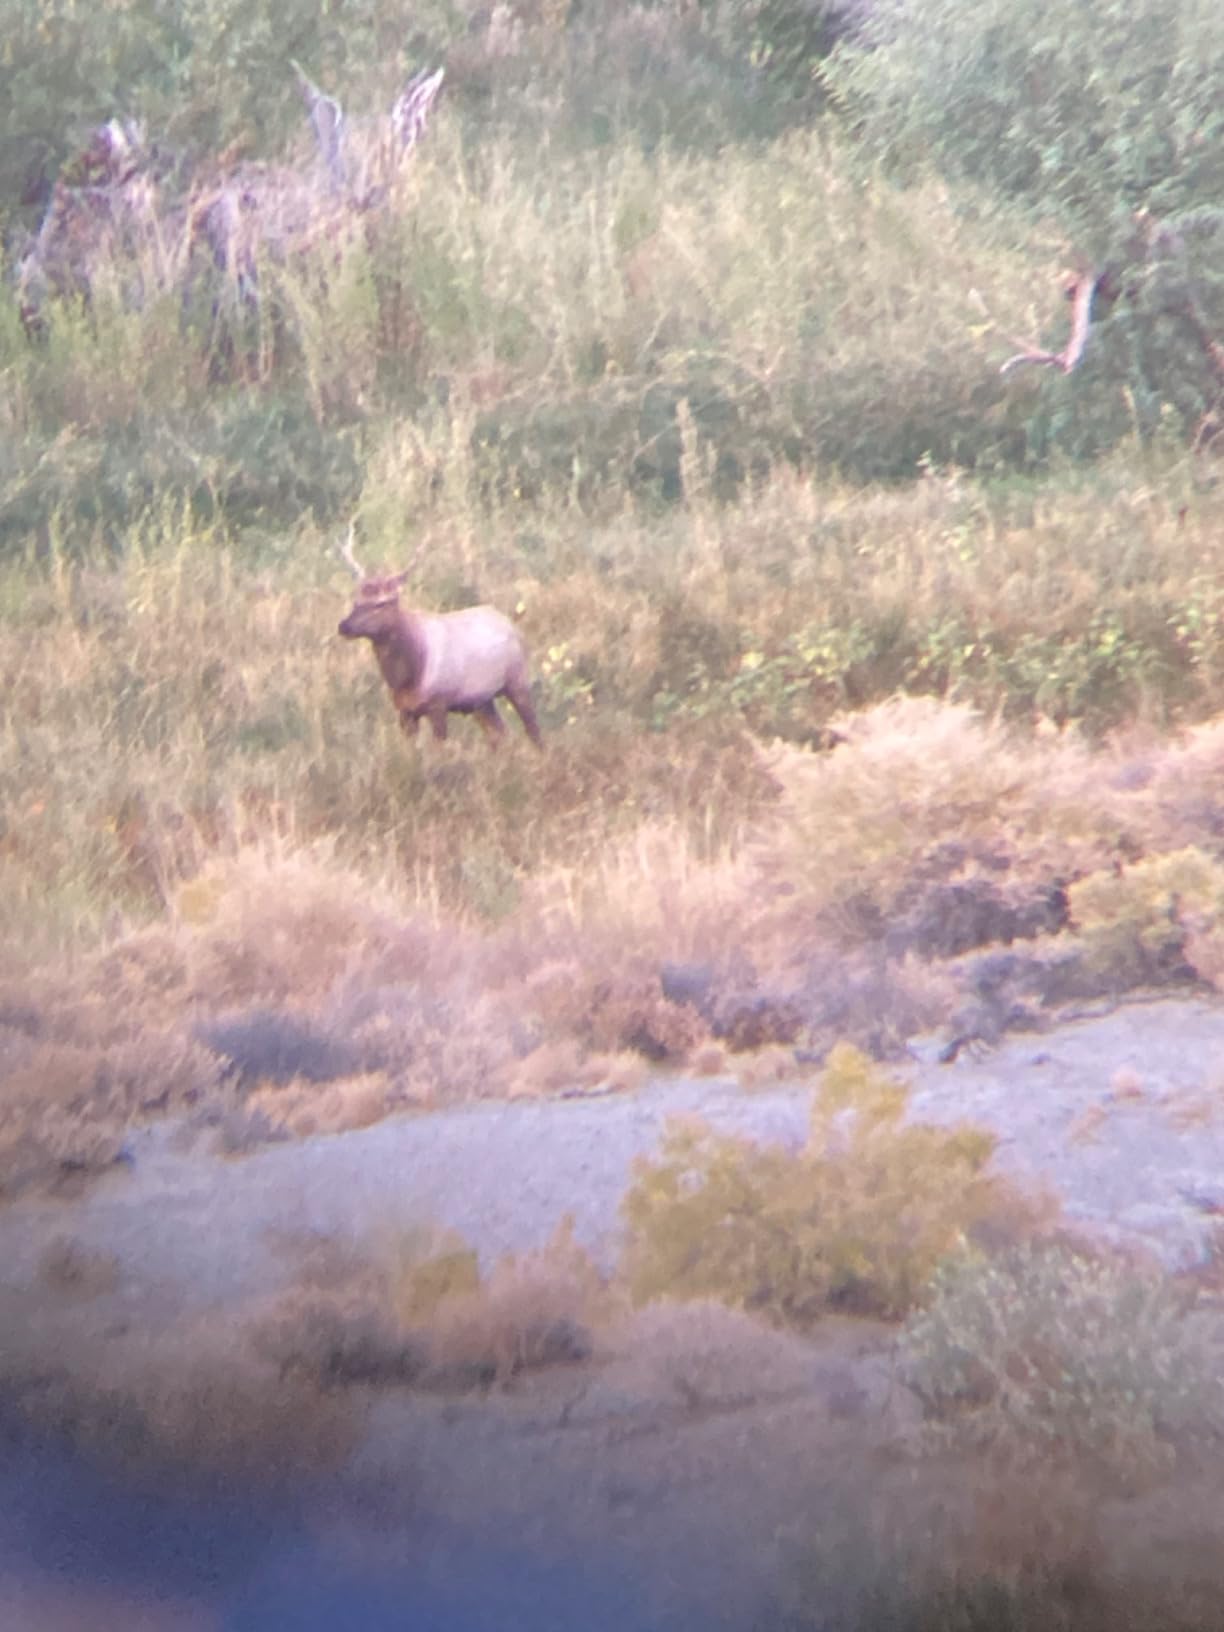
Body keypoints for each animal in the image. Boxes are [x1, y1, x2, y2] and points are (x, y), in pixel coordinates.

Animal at [335, 530, 542, 749]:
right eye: (356, 601)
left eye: (380, 604)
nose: (344, 626)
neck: (409, 676)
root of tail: (511, 623)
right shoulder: (404, 710)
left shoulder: (438, 703)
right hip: (482, 701)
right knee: (499, 733)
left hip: (518, 680)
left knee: (534, 732)